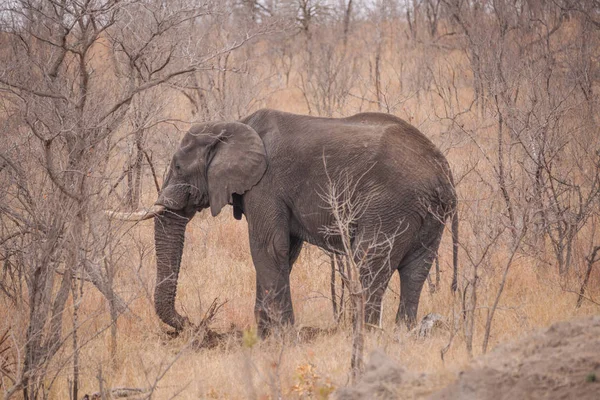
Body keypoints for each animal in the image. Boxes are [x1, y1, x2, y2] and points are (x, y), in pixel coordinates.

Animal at [111, 108, 460, 334]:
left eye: (178, 167)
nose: (189, 323)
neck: (234, 125)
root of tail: (444, 170)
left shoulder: (266, 183)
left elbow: (268, 247)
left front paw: (282, 336)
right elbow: (285, 252)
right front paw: (266, 335)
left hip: (391, 205)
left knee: (370, 260)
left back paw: (364, 333)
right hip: (427, 214)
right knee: (416, 268)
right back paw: (404, 332)